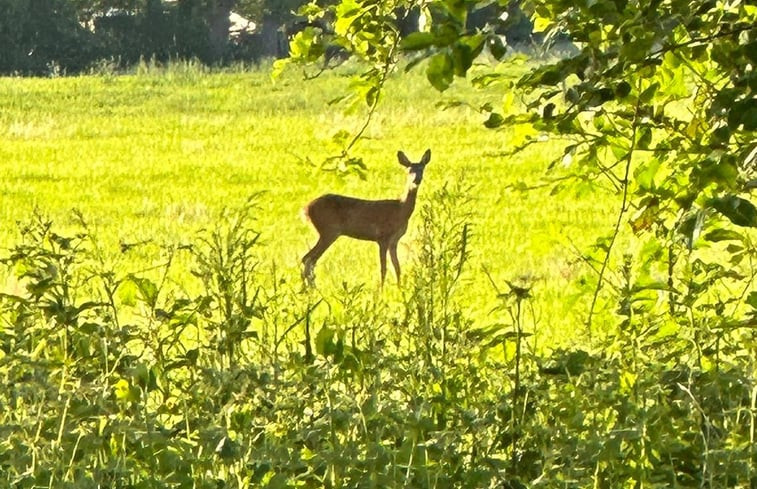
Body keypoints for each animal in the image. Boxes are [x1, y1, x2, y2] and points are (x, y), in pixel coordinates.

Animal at [302, 149, 432, 286]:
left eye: (422, 169)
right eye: (409, 170)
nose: (416, 180)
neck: (400, 209)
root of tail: (306, 208)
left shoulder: (394, 240)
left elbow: (397, 268)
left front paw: (400, 288)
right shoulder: (382, 237)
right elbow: (383, 268)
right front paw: (381, 290)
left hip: (327, 232)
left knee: (309, 259)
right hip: (328, 231)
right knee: (308, 259)